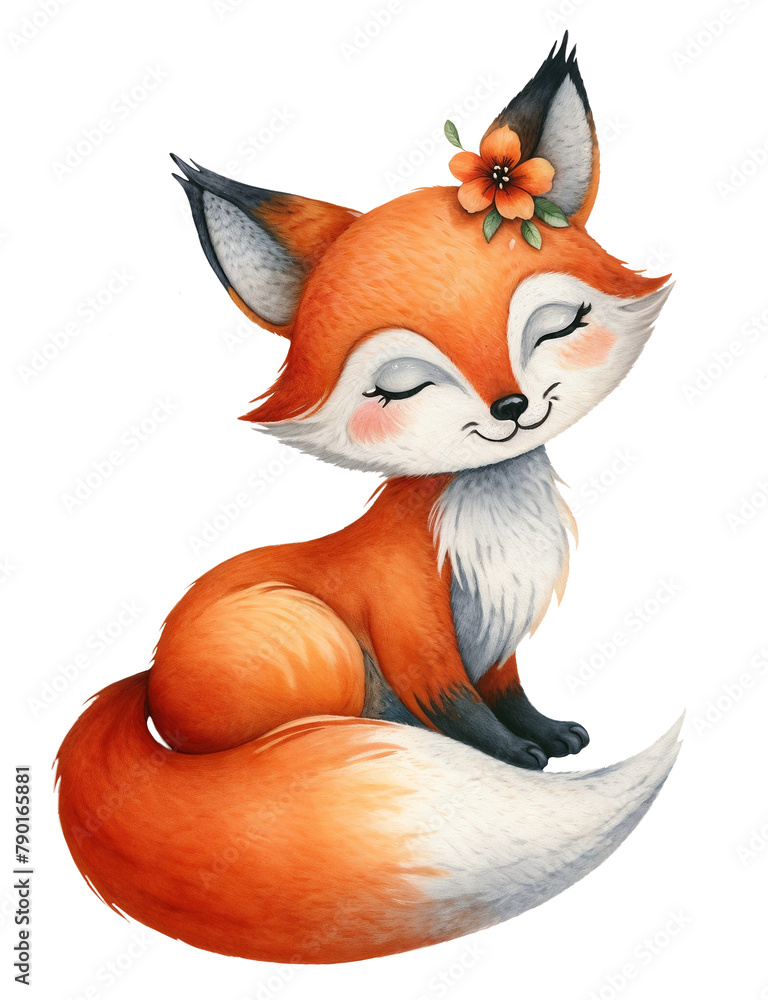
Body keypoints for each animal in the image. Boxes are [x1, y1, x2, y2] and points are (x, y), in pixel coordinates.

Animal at [56, 36, 681, 965]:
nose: (511, 407)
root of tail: (146, 677)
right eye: (399, 385)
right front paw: (516, 758)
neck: (494, 523)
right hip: (316, 641)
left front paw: (546, 734)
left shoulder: (496, 630)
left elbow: (508, 692)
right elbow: (459, 706)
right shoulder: (414, 619)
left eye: (558, 324)